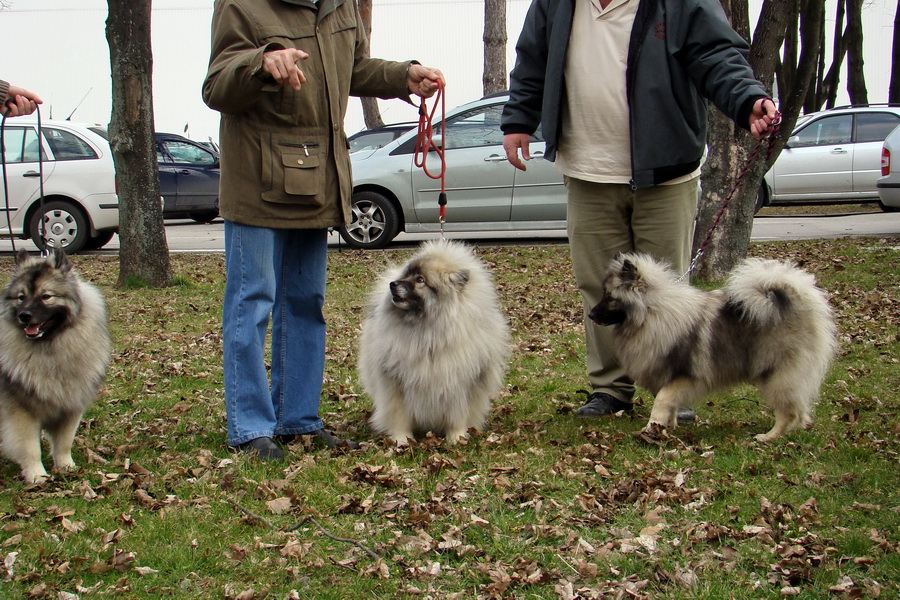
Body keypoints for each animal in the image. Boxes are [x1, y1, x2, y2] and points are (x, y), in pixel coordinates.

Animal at [0, 250, 110, 482]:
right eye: (21, 297)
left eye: (46, 296)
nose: (24, 316)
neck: (51, 349)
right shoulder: (21, 409)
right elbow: (30, 447)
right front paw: (37, 476)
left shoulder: (70, 404)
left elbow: (64, 441)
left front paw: (66, 467)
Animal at [360, 240, 512, 446]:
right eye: (406, 275)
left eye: (420, 280)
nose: (392, 284)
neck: (429, 332)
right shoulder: (396, 384)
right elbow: (399, 416)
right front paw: (402, 439)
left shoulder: (459, 386)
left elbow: (457, 416)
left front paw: (456, 437)